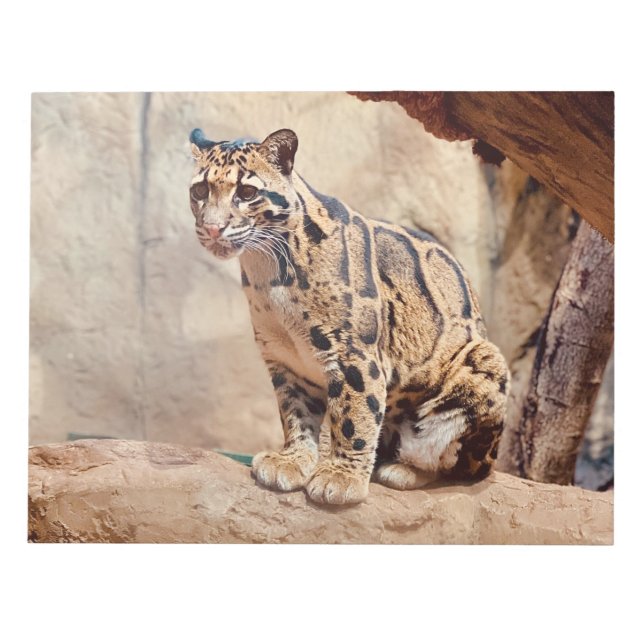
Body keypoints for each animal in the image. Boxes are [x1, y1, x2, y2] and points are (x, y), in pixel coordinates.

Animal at [188, 127, 510, 505]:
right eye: (199, 190)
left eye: (247, 192)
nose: (212, 228)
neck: (267, 269)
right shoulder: (285, 359)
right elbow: (296, 414)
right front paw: (293, 460)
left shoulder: (353, 354)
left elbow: (355, 415)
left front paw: (341, 478)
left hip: (484, 363)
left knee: (459, 465)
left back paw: (403, 469)